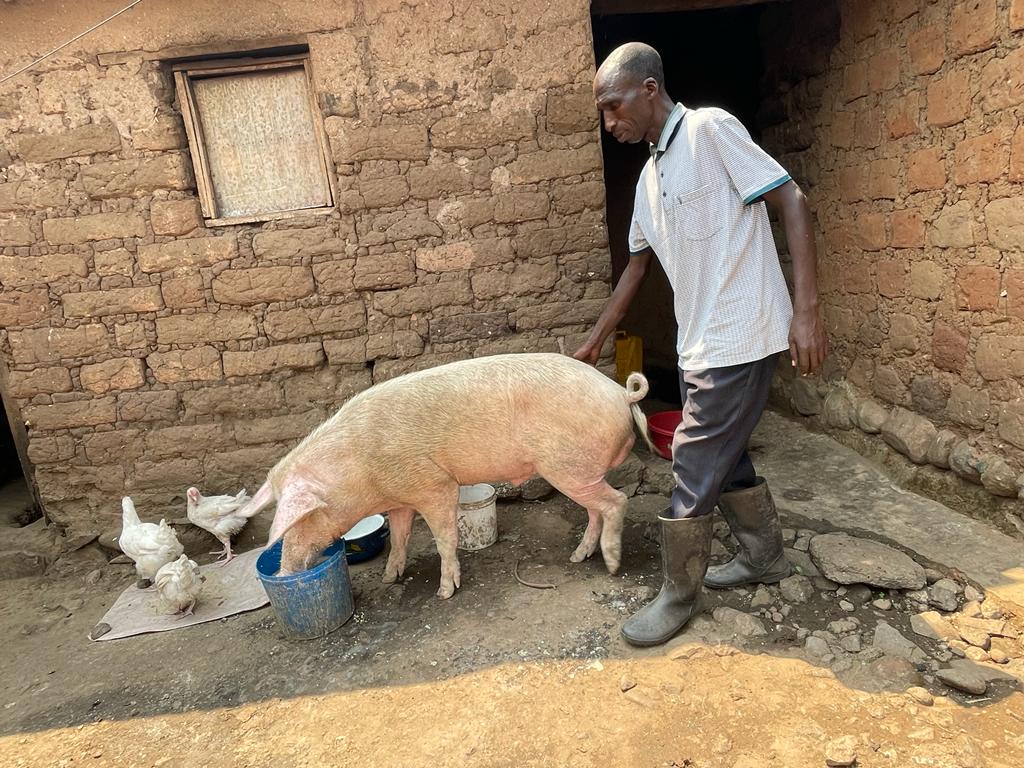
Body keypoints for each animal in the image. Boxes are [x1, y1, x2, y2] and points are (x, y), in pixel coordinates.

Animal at [238, 352, 651, 598]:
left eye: (300, 520)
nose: (283, 571)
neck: (361, 474)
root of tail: (622, 393)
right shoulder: (400, 499)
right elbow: (400, 537)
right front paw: (390, 577)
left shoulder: (434, 486)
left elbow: (444, 539)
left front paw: (445, 592)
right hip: (577, 471)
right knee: (595, 509)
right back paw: (578, 557)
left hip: (566, 466)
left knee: (616, 501)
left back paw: (611, 565)